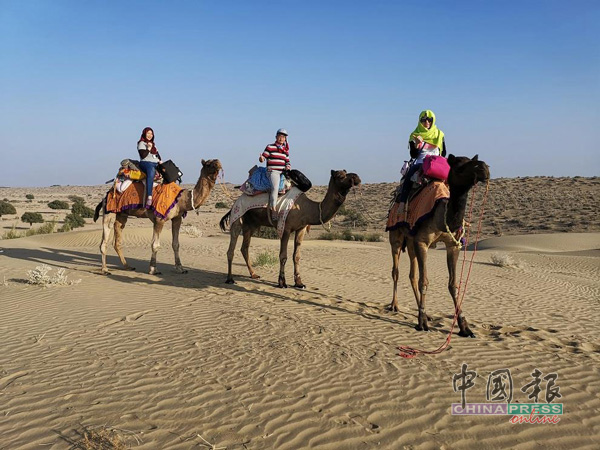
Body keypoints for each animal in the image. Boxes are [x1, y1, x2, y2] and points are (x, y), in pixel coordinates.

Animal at [94, 160, 223, 276]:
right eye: (209, 163)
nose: (219, 164)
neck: (181, 199)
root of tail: (107, 195)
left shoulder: (177, 219)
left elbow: (176, 244)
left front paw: (180, 268)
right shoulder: (159, 219)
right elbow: (155, 245)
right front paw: (153, 269)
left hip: (122, 214)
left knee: (117, 237)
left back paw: (127, 266)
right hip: (109, 210)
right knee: (105, 237)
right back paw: (105, 270)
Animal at [220, 169, 360, 288]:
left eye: (346, 172)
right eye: (341, 176)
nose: (356, 177)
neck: (307, 209)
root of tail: (234, 203)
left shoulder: (301, 229)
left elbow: (296, 256)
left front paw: (299, 282)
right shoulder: (285, 228)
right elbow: (283, 256)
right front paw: (282, 282)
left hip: (251, 224)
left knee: (245, 248)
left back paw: (254, 274)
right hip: (238, 215)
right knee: (231, 248)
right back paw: (230, 279)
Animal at [386, 155, 490, 338]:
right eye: (459, 167)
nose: (483, 167)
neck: (442, 216)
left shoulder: (453, 245)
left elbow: (453, 284)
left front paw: (465, 327)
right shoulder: (422, 242)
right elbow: (424, 281)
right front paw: (422, 323)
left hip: (411, 242)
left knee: (412, 275)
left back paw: (425, 312)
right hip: (396, 237)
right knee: (396, 271)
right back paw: (395, 305)